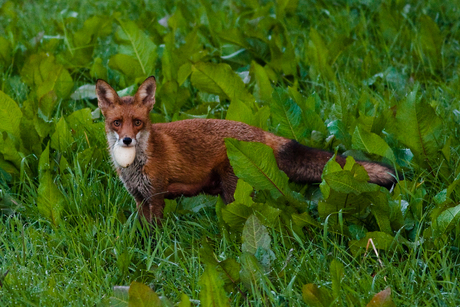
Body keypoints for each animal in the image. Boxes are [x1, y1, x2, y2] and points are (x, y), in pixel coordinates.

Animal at [96, 76, 396, 226]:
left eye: (137, 123)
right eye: (116, 123)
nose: (126, 140)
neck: (135, 166)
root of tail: (257, 130)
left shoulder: (156, 197)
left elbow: (155, 234)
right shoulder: (139, 199)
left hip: (233, 192)